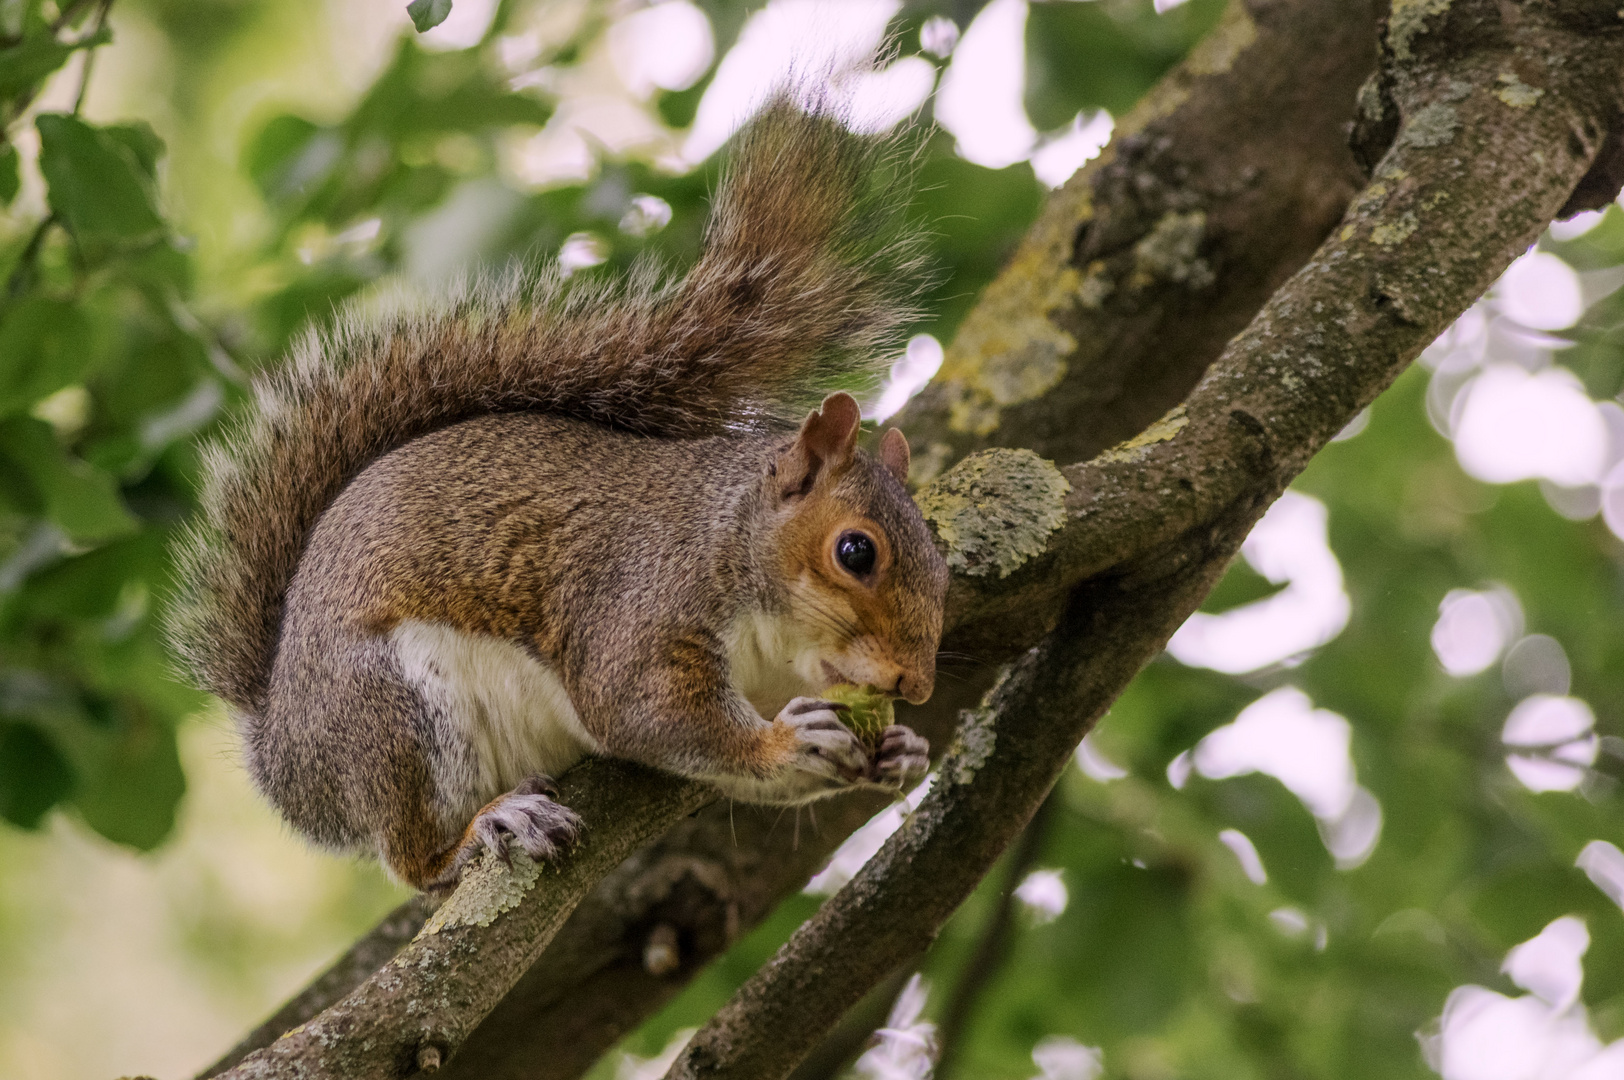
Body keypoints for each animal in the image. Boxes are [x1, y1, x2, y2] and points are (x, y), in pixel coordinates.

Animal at [164, 101, 948, 889]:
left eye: (943, 561)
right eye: (855, 551)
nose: (916, 686)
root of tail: (281, 754)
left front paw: (900, 750)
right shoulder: (638, 606)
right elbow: (641, 710)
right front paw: (786, 746)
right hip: (393, 717)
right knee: (413, 861)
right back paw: (483, 828)